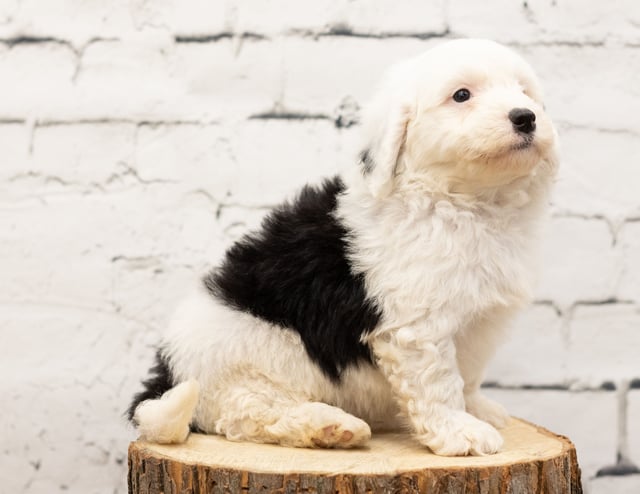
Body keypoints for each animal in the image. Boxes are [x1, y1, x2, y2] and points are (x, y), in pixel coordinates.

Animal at [127, 37, 556, 456]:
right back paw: (328, 426)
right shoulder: (418, 323)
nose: (525, 116)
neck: (469, 203)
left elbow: (468, 375)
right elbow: (438, 380)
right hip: (238, 366)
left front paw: (479, 410)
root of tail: (167, 372)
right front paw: (459, 431)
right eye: (462, 95)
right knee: (248, 412)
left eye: (525, 92)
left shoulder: (479, 323)